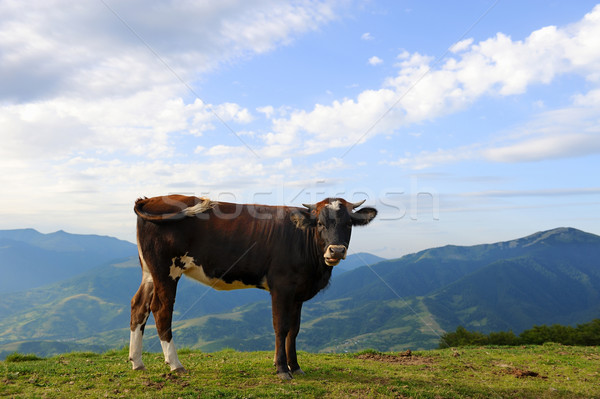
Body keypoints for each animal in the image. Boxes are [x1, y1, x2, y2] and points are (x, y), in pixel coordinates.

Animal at [129, 195, 378, 380]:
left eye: (348, 224)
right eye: (320, 224)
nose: (336, 250)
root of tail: (152, 198)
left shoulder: (297, 293)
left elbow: (294, 330)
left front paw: (296, 367)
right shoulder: (281, 287)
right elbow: (281, 327)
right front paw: (282, 369)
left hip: (149, 271)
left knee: (139, 306)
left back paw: (137, 362)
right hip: (166, 270)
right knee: (161, 309)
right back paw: (175, 364)